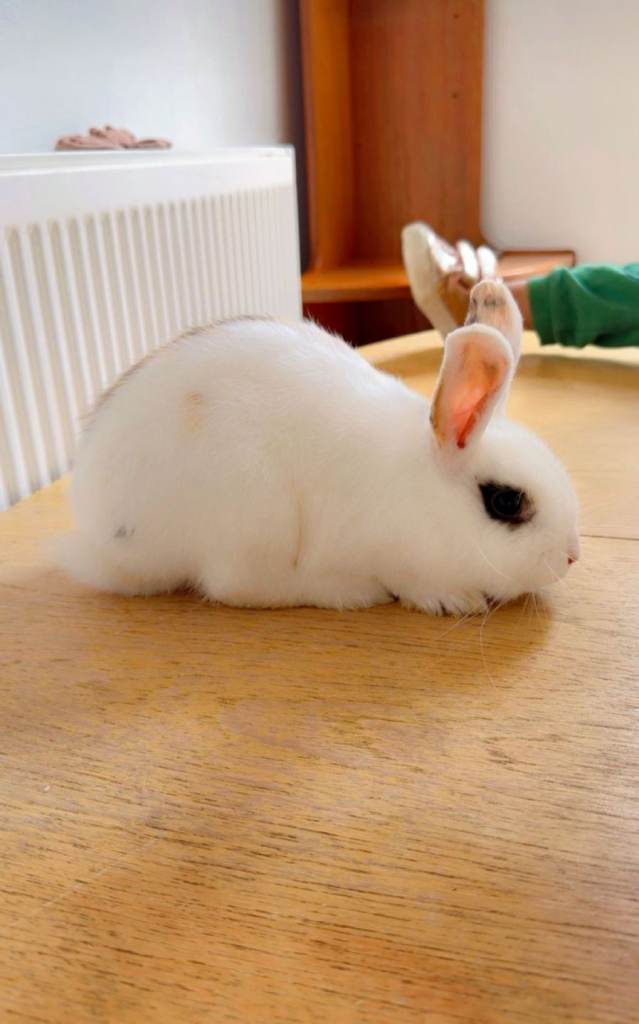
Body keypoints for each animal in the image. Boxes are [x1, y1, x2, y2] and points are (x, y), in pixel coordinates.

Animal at [56, 280, 579, 615]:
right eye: (506, 501)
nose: (571, 557)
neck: (423, 494)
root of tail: (100, 534)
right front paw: (451, 599)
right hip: (253, 508)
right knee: (240, 587)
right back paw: (350, 592)